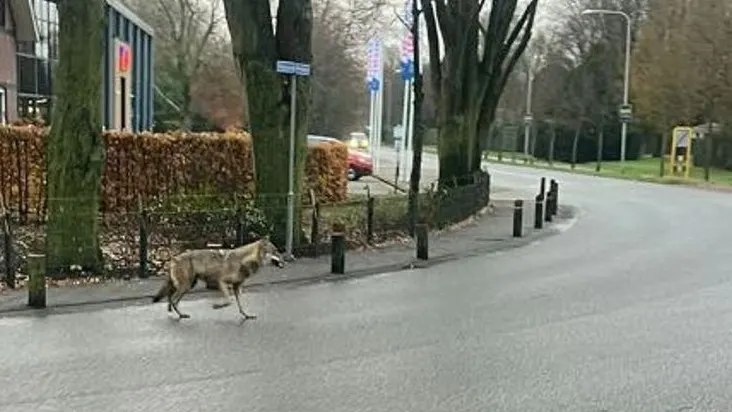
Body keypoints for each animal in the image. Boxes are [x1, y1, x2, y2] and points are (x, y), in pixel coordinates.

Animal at [151, 237, 285, 319]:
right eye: (276, 252)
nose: (285, 261)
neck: (244, 261)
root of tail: (173, 258)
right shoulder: (221, 282)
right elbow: (229, 301)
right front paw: (217, 306)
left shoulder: (237, 287)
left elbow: (240, 305)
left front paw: (247, 315)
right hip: (186, 286)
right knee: (173, 300)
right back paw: (181, 315)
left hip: (187, 286)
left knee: (170, 298)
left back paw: (172, 311)